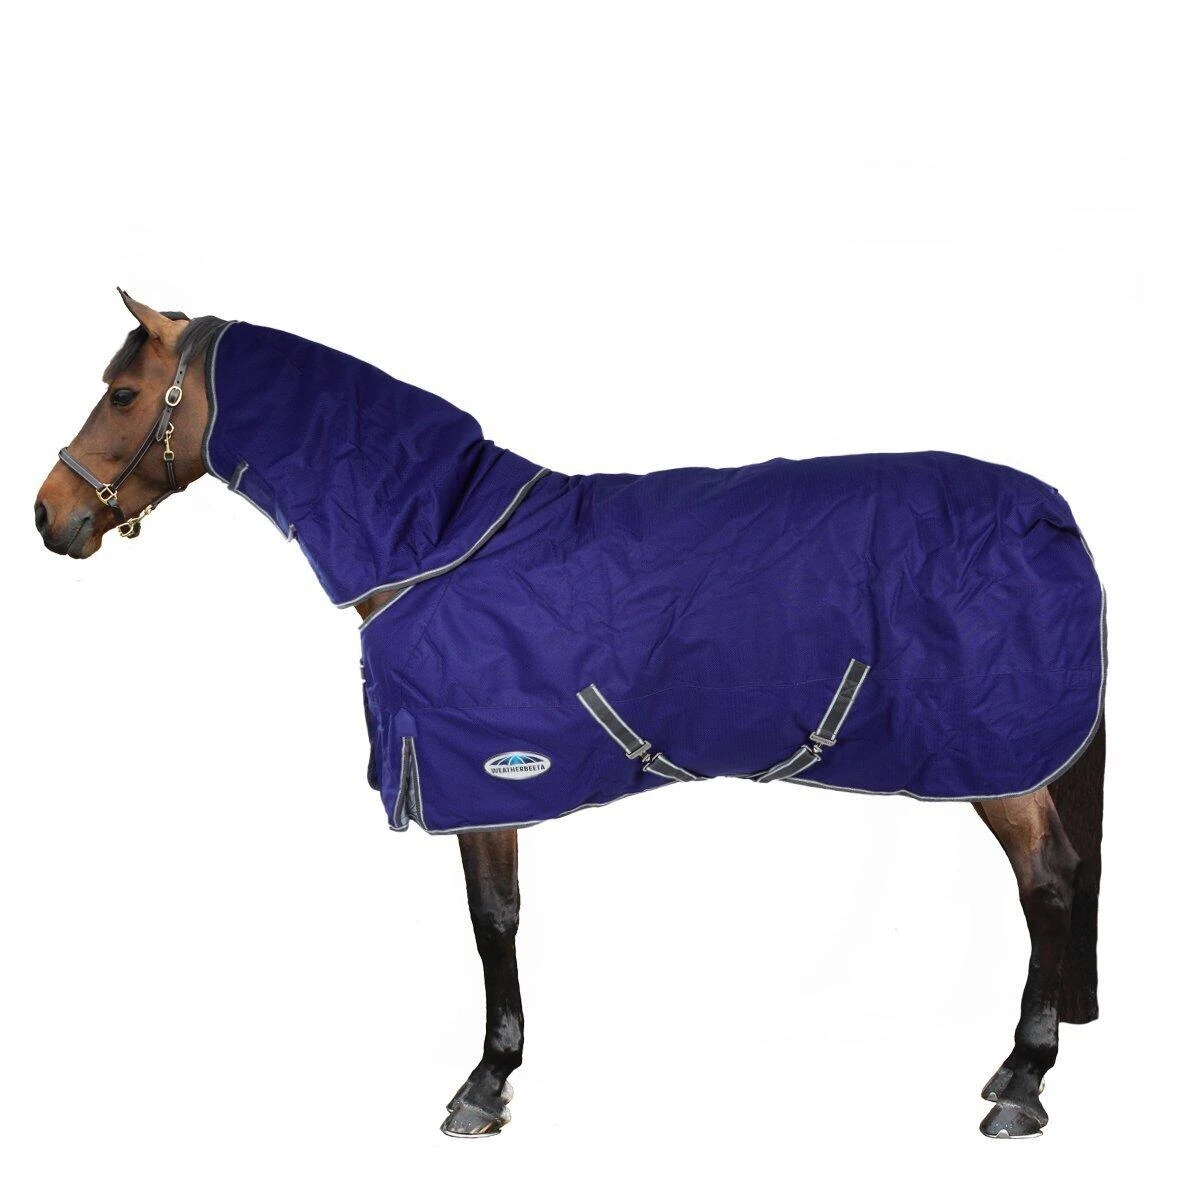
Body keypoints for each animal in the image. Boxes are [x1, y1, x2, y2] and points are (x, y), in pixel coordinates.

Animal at [35, 292, 1105, 1139]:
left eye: (124, 395)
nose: (50, 516)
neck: (437, 538)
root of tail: (1052, 508)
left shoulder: (479, 775)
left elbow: (493, 919)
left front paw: (485, 1083)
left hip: (998, 758)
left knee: (1048, 880)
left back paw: (1023, 1083)